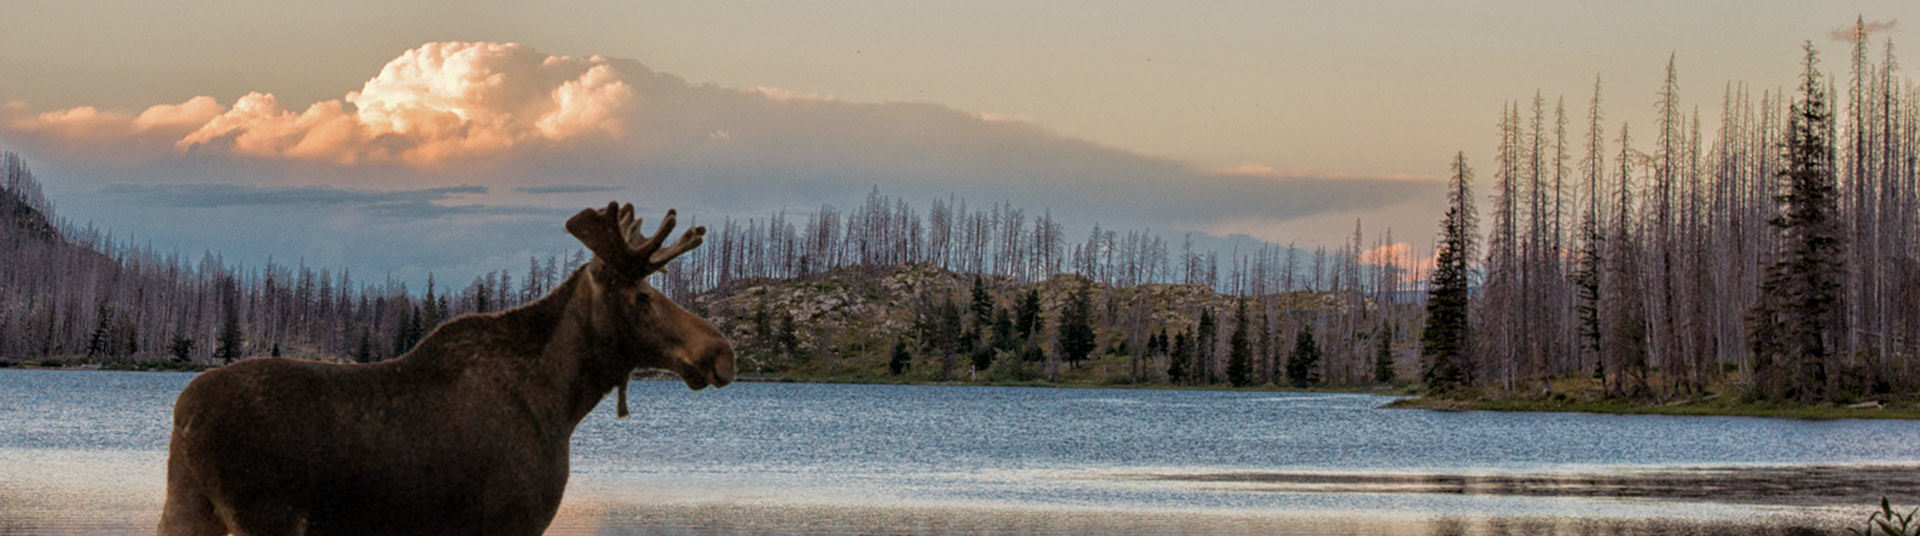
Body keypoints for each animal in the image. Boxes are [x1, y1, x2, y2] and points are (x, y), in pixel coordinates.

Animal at [157, 203, 733, 534]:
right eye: (641, 296)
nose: (721, 352)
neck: (561, 401)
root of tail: (184, 416)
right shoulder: (511, 520)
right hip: (265, 516)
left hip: (187, 509)